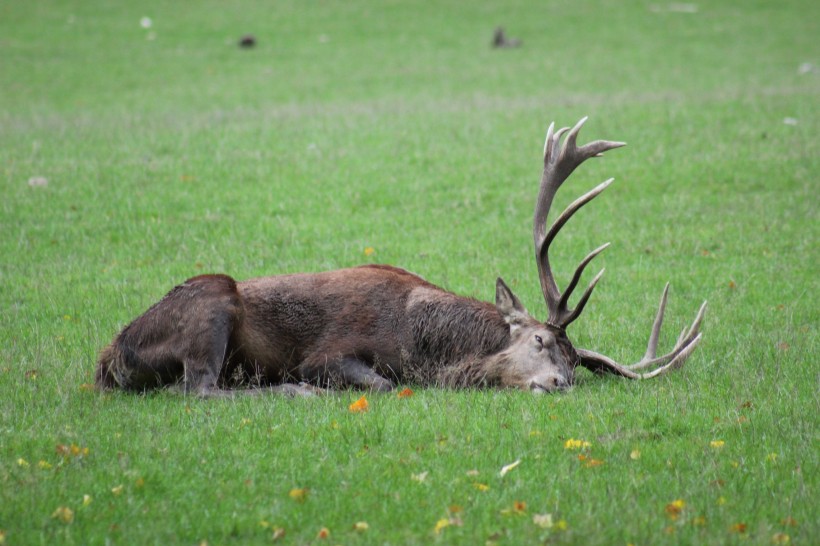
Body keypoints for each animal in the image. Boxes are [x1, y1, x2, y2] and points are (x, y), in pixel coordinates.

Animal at [96, 116, 704, 396]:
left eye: (576, 363)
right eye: (539, 340)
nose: (560, 383)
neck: (425, 346)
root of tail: (107, 359)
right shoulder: (329, 351)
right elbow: (385, 383)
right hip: (213, 295)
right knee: (199, 388)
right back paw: (289, 390)